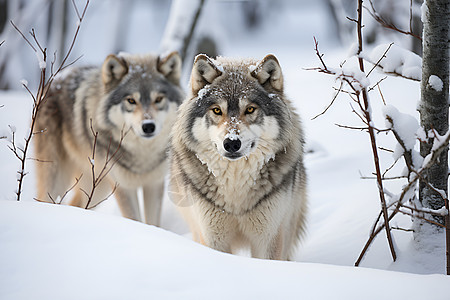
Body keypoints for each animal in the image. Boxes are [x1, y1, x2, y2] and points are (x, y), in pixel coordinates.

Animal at [33, 51, 185, 225]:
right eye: (131, 100)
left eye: (158, 99)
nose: (148, 126)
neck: (142, 156)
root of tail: (55, 80)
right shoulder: (123, 187)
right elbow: (134, 218)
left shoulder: (154, 184)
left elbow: (152, 223)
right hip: (58, 179)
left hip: (98, 186)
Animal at [171, 54, 308, 260]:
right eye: (217, 110)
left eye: (250, 109)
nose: (231, 143)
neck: (235, 183)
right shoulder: (212, 237)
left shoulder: (269, 238)